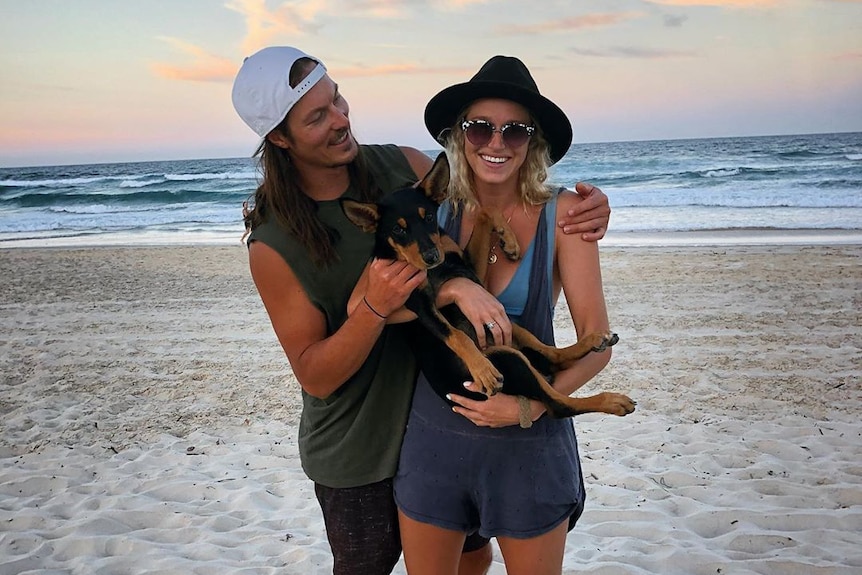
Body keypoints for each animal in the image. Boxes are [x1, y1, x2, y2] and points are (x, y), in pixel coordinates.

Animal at [342, 153, 636, 418]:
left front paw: (510, 241)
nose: (432, 257)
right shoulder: (418, 302)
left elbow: (487, 210)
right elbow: (455, 335)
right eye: (398, 230)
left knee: (553, 356)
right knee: (557, 405)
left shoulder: (471, 271)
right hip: (509, 358)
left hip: (509, 328)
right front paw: (481, 370)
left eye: (429, 218)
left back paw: (595, 341)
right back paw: (612, 401)